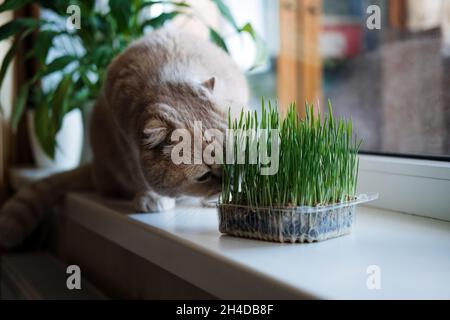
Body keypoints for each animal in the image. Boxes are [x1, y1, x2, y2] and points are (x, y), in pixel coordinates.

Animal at [0, 27, 250, 249]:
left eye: (232, 161)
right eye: (204, 176)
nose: (227, 184)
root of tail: (95, 167)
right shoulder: (125, 143)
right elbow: (139, 175)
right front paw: (151, 198)